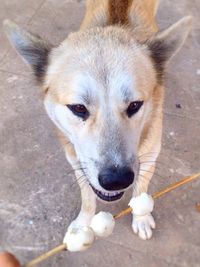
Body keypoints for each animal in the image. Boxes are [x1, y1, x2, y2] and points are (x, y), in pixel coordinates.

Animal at [3, 0, 192, 242]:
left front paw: (141, 217)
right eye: (78, 108)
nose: (116, 180)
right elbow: (87, 198)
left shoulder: (150, 157)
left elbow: (140, 189)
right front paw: (83, 224)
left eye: (135, 105)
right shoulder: (77, 161)